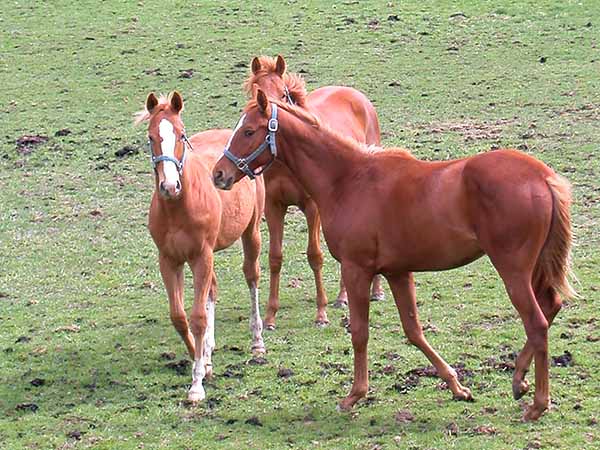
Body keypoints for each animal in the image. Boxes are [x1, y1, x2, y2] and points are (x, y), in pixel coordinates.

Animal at [139, 90, 266, 400]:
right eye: (151, 137)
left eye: (181, 134)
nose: (169, 186)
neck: (179, 207)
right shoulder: (169, 260)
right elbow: (179, 316)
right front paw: (203, 361)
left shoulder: (200, 256)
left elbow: (197, 317)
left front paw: (197, 383)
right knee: (212, 291)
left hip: (250, 233)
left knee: (252, 277)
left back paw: (257, 342)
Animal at [214, 91, 576, 422]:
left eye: (249, 131)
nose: (219, 173)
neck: (348, 179)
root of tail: (542, 177)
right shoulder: (397, 272)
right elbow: (413, 330)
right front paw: (457, 386)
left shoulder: (357, 269)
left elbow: (360, 332)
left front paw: (354, 395)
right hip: (533, 269)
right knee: (551, 306)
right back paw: (518, 380)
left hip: (512, 269)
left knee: (537, 322)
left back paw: (537, 404)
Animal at [244, 55, 384, 330]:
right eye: (256, 91)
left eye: (283, 94)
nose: (268, 112)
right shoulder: (274, 207)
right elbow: (275, 258)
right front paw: (270, 316)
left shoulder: (312, 207)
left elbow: (315, 256)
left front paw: (321, 313)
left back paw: (368, 292)